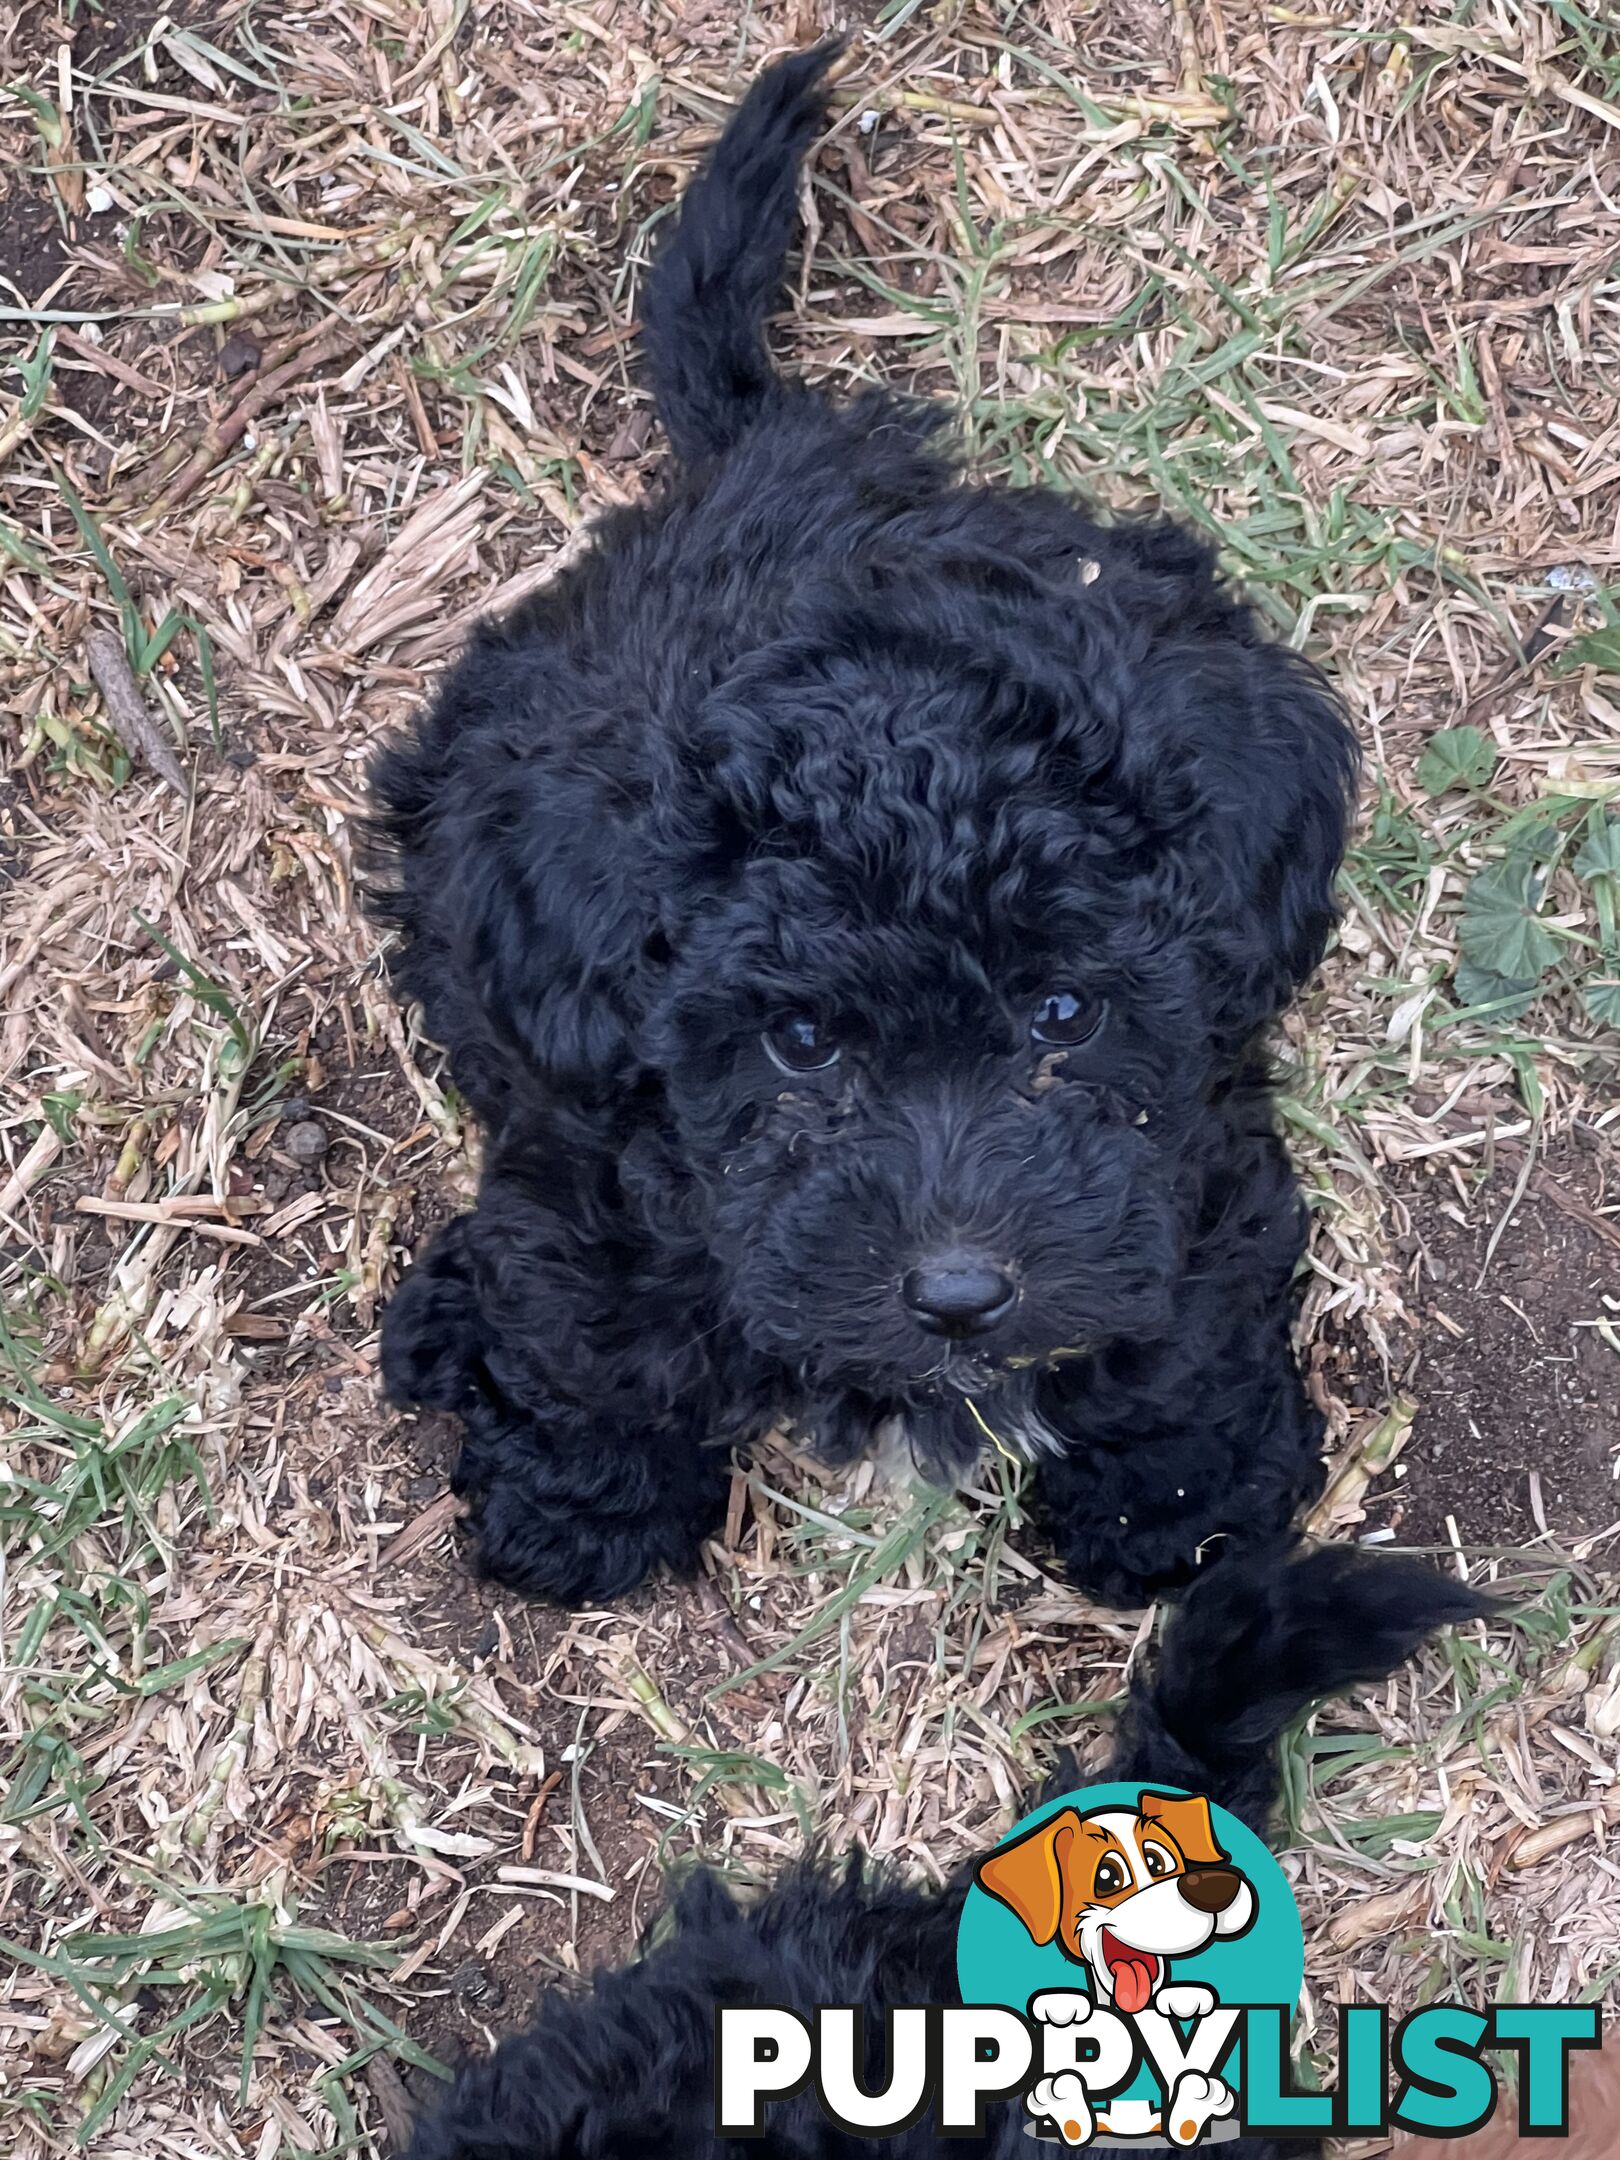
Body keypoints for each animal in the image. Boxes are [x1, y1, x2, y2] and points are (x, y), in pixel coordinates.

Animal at [373, 42, 1365, 1615]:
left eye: (1066, 1012)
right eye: (796, 1042)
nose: (959, 1296)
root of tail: (766, 450)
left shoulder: (1189, 1156)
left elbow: (1183, 1325)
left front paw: (1178, 1505)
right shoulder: (597, 1170)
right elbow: (587, 1326)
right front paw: (583, 1504)